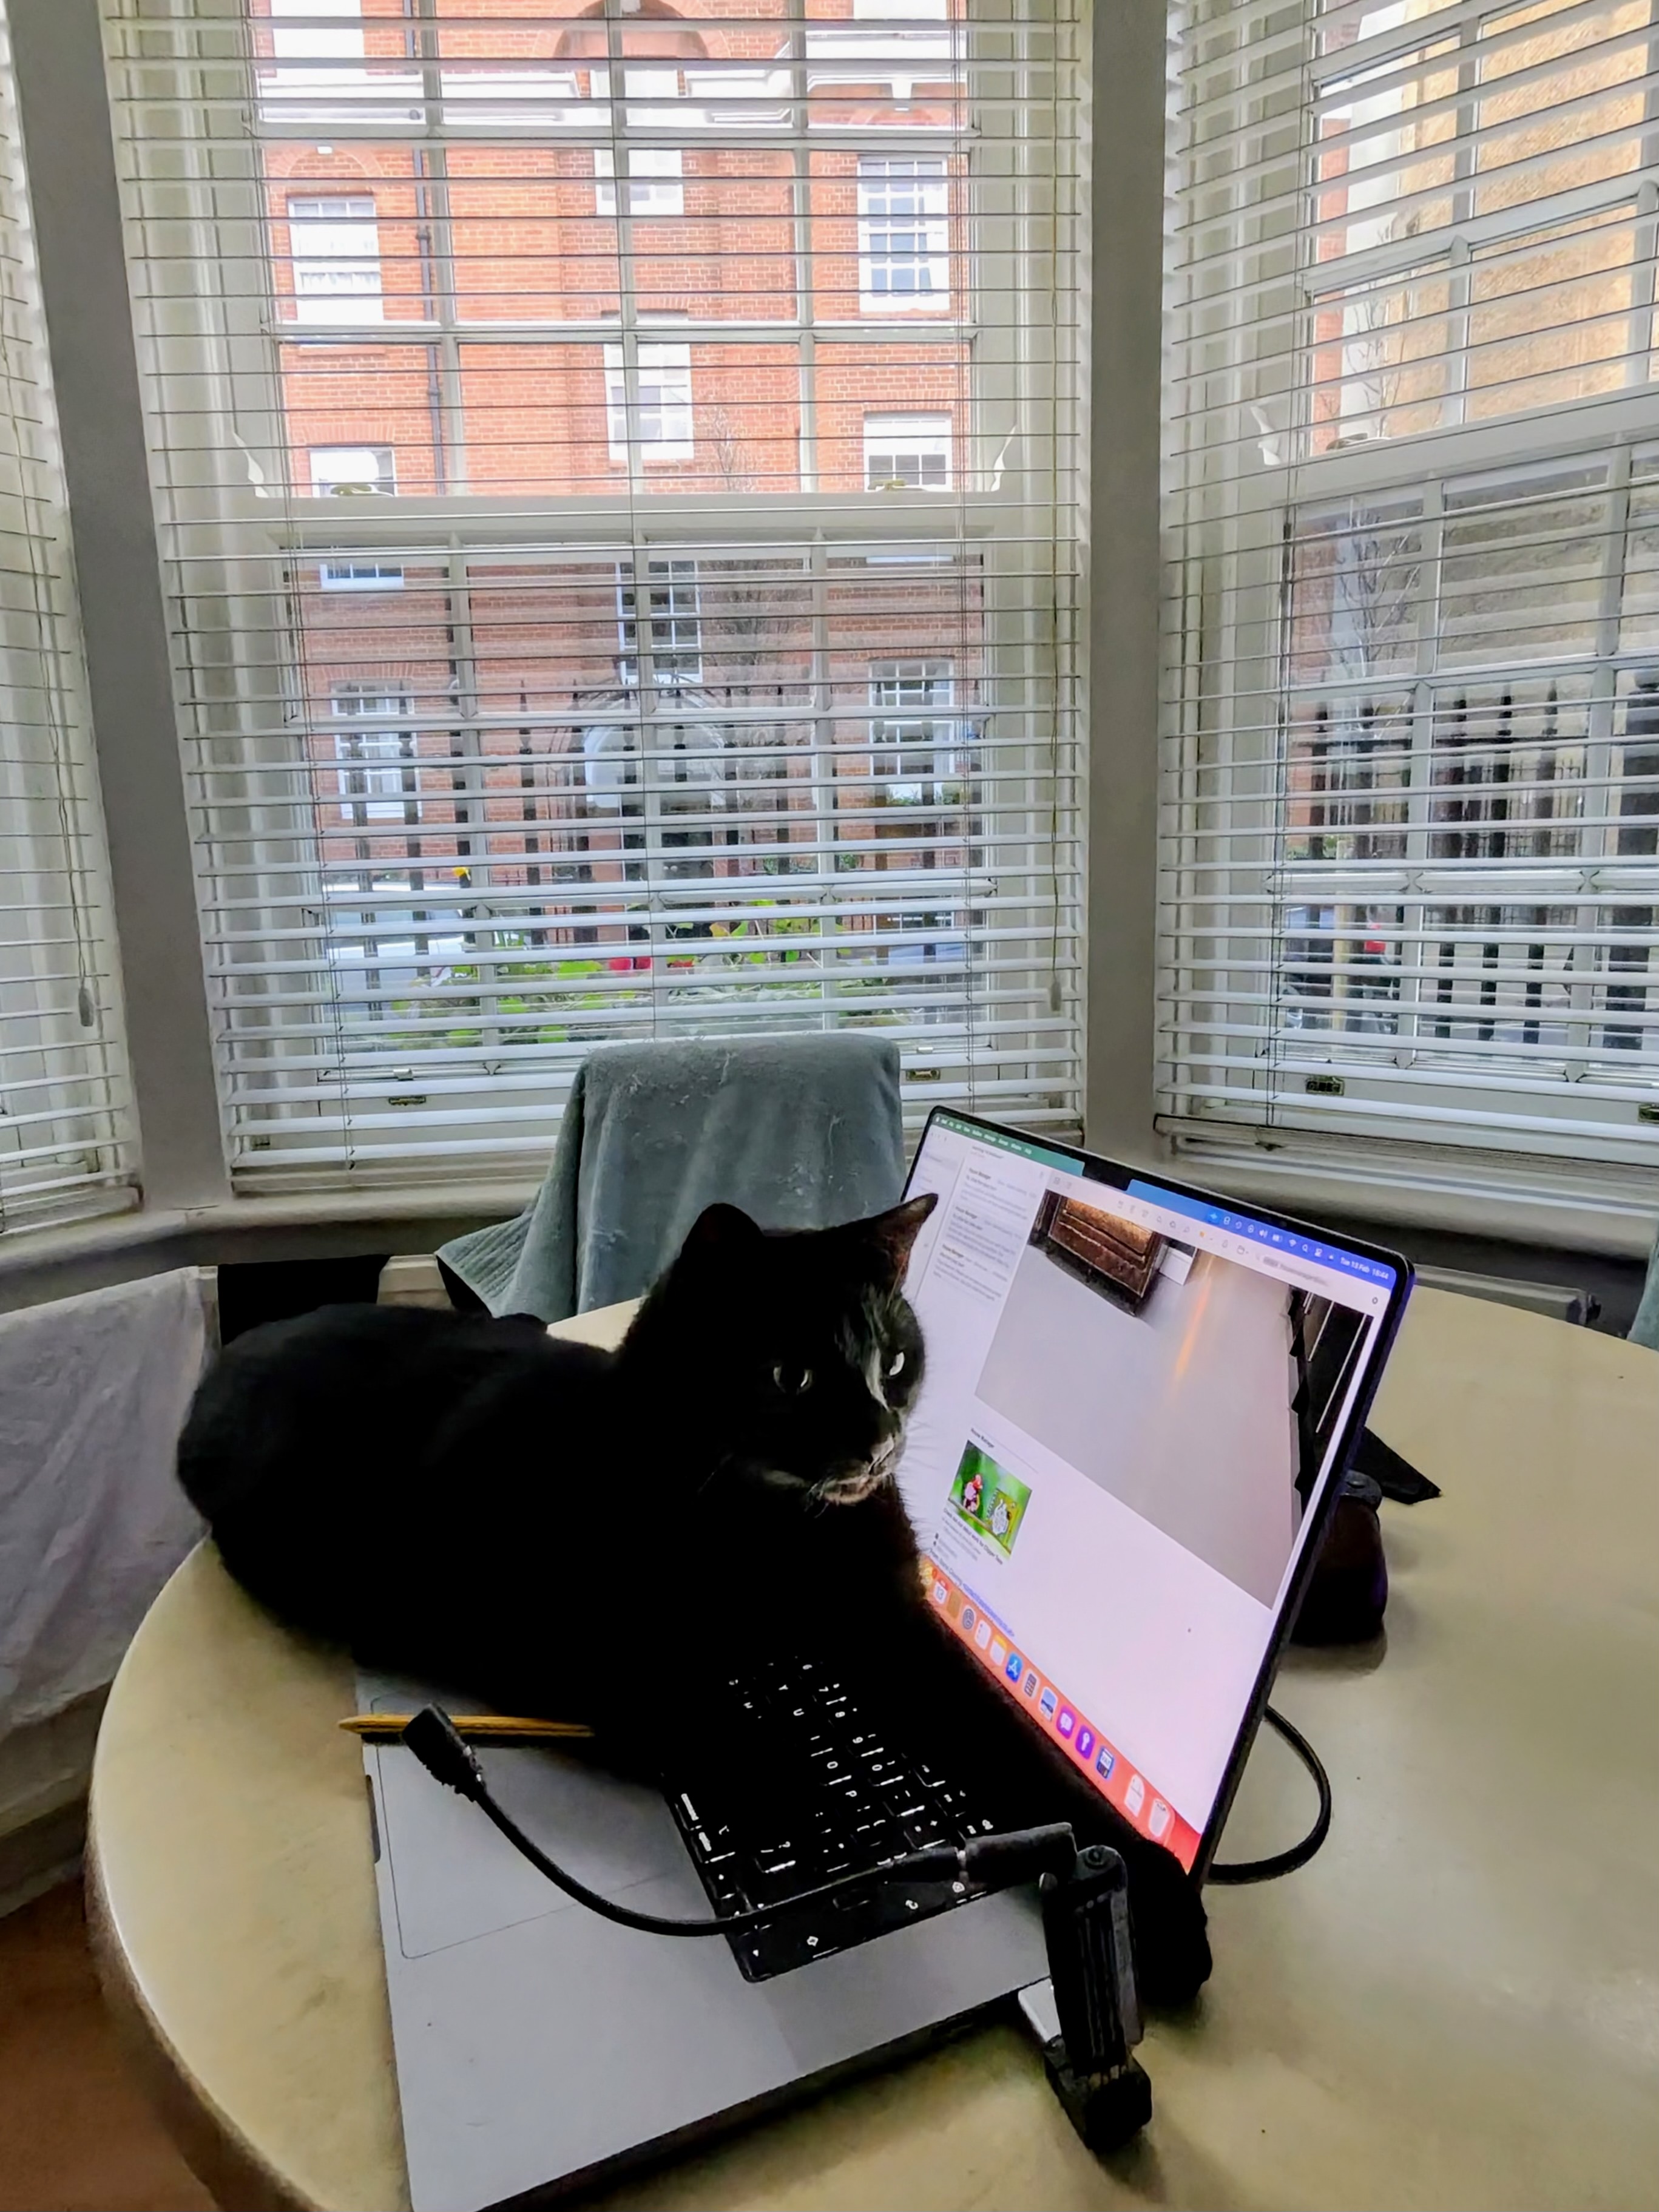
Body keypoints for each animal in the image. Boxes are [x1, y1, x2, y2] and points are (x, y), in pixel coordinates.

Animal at [181, 1203, 1212, 2000]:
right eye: (790, 1374)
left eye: (893, 1361)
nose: (879, 1439)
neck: (779, 1526)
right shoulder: (552, 1638)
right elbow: (727, 1726)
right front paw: (848, 1829)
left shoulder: (892, 1623)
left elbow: (1014, 1744)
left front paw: (1150, 1901)